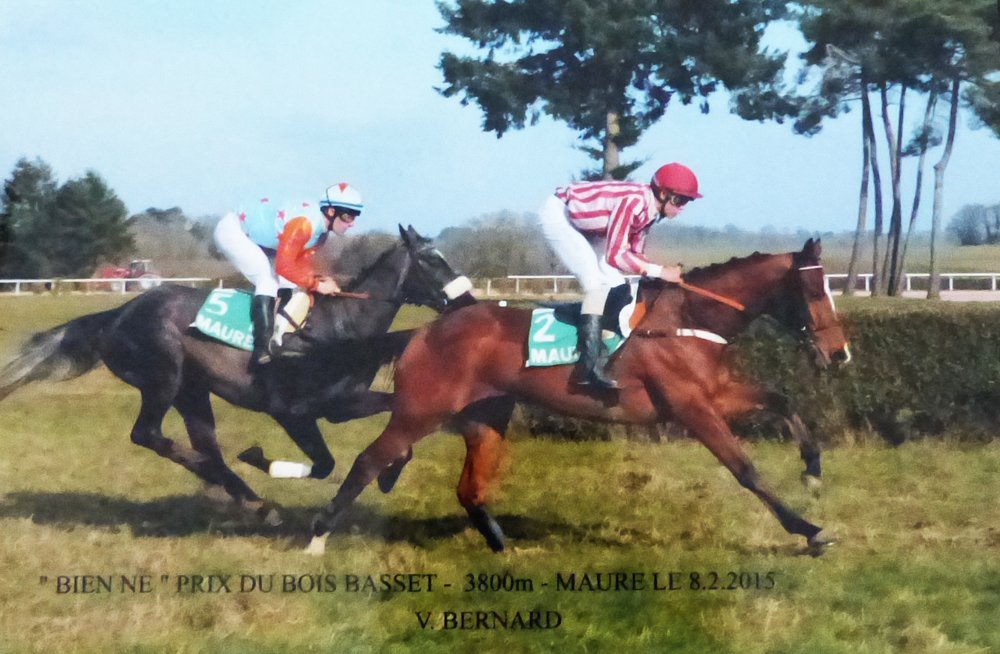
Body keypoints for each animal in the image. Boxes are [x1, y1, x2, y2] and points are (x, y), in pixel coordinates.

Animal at [0, 225, 472, 522]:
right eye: (433, 261)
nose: (468, 301)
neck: (341, 327)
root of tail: (116, 314)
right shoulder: (293, 411)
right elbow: (322, 465)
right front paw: (259, 459)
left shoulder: (342, 404)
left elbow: (394, 414)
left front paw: (390, 472)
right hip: (163, 377)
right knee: (149, 435)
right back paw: (228, 483)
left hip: (192, 390)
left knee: (203, 444)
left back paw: (247, 497)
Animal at [305, 238, 851, 554]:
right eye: (814, 292)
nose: (840, 352)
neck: (686, 319)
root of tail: (422, 331)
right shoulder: (691, 407)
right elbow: (745, 468)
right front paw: (807, 530)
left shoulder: (714, 393)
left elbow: (782, 400)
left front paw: (813, 470)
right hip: (421, 410)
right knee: (370, 460)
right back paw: (318, 535)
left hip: (486, 417)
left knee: (468, 488)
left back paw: (503, 546)